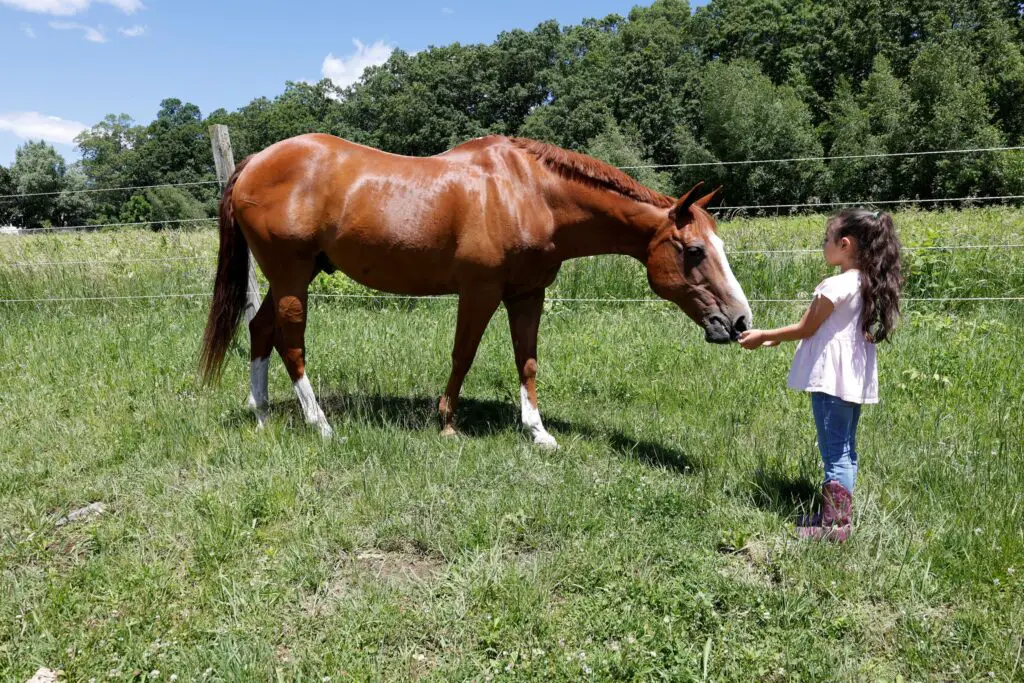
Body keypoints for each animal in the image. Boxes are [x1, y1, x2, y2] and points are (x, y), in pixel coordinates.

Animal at [199, 134, 749, 446]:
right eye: (694, 251)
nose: (740, 321)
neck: (529, 193)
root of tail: (253, 162)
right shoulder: (480, 291)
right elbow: (463, 355)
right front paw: (446, 423)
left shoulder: (527, 294)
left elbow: (527, 359)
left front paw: (538, 432)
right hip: (292, 277)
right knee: (290, 343)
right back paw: (320, 425)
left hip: (294, 276)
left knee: (260, 329)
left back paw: (261, 413)